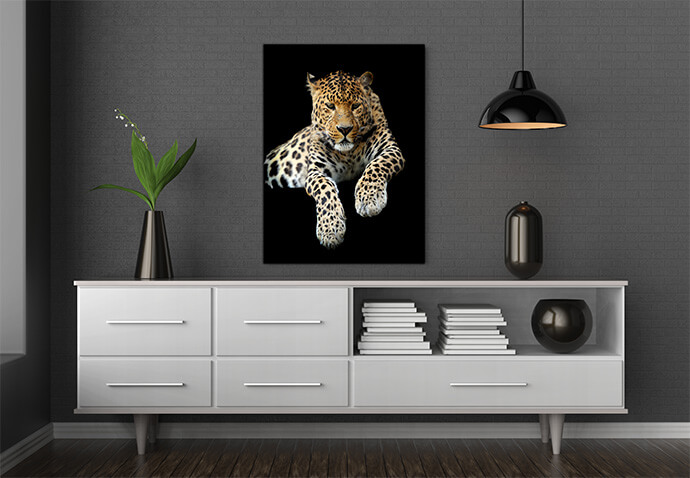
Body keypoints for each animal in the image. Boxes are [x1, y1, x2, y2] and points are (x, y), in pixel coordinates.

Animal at [264, 70, 405, 249]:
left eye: (355, 106)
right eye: (330, 106)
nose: (345, 129)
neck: (348, 154)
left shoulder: (391, 149)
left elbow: (376, 166)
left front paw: (368, 199)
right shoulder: (315, 171)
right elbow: (324, 188)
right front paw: (330, 229)